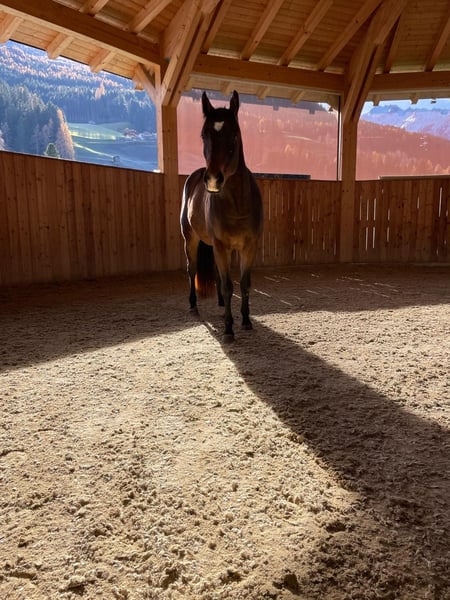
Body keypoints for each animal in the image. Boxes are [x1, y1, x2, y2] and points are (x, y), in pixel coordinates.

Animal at [180, 90, 263, 342]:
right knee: (192, 269)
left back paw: (218, 302)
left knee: (217, 275)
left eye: (234, 134)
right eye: (203, 134)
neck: (237, 204)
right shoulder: (221, 245)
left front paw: (245, 321)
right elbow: (229, 286)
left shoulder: (248, 246)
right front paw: (228, 329)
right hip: (192, 240)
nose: (213, 180)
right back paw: (193, 306)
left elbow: (244, 283)